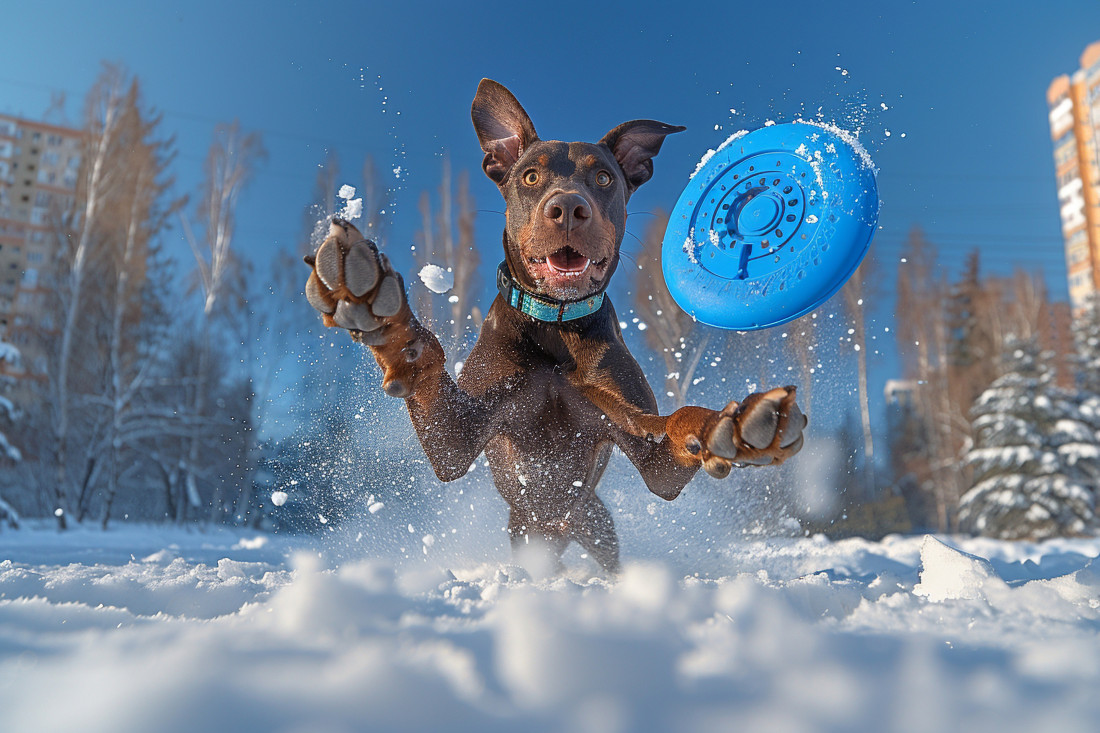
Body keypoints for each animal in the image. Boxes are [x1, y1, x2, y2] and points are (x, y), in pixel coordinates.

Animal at [305, 79, 805, 572]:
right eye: (530, 176)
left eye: (603, 177)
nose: (567, 207)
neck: (555, 323)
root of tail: (554, 529)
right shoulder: (456, 441)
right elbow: (425, 361)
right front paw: (374, 306)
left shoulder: (646, 451)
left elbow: (680, 423)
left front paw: (734, 425)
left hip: (594, 522)